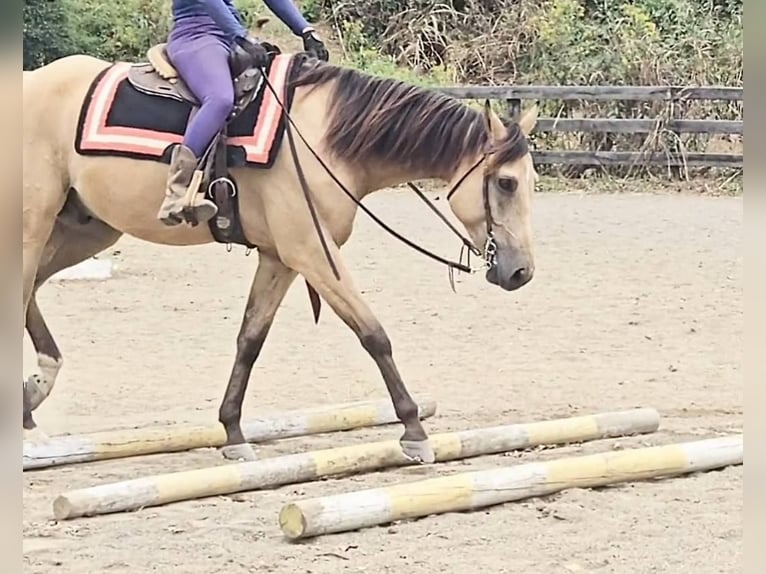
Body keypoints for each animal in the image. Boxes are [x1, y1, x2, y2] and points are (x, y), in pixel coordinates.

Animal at [22, 47, 539, 464]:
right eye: (505, 183)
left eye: (530, 181)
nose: (521, 272)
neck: (325, 138)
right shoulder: (311, 251)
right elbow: (373, 334)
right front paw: (414, 431)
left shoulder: (279, 258)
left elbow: (250, 340)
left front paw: (233, 432)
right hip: (33, 225)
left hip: (85, 230)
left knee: (32, 293)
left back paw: (32, 399)